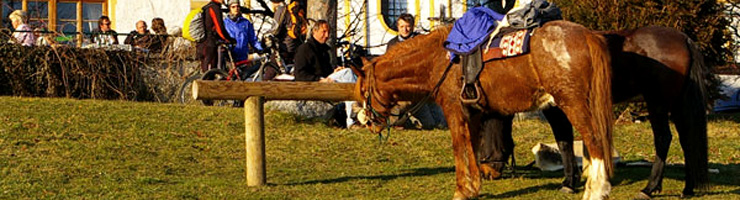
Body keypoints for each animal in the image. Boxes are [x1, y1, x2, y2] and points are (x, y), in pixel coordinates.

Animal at [352, 20, 612, 200]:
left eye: (364, 90)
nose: (367, 121)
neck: (440, 58)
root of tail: (586, 34)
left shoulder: (454, 112)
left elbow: (459, 148)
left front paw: (460, 190)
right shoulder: (473, 114)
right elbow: (473, 148)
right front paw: (473, 188)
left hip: (573, 103)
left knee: (593, 139)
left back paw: (596, 190)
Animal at [480, 25, 712, 198]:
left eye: (485, 140)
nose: (486, 173)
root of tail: (684, 39)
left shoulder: (556, 109)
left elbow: (564, 142)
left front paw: (569, 182)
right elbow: (567, 141)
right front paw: (573, 180)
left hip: (658, 104)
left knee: (663, 138)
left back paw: (649, 188)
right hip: (677, 104)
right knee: (687, 139)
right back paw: (688, 188)